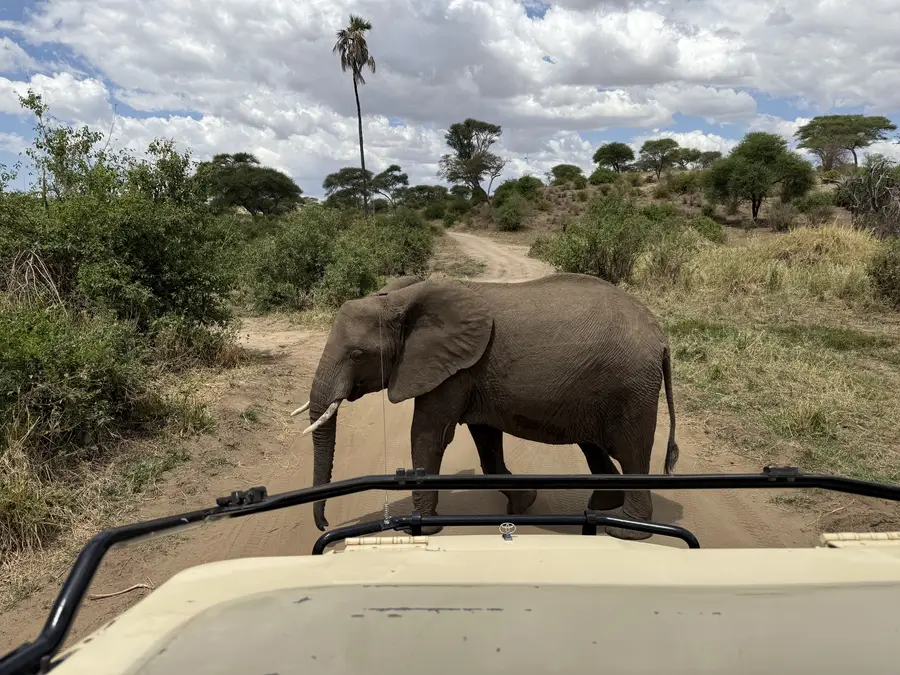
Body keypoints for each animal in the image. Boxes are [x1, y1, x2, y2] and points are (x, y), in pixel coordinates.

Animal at [293, 272, 679, 540]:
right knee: (593, 445)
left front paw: (422, 528)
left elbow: (429, 436)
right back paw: (601, 506)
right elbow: (486, 440)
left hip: (630, 387)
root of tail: (661, 338)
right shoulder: (471, 371)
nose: (324, 524)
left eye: (357, 355)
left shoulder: (452, 370)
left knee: (632, 452)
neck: (401, 299)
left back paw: (626, 530)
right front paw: (523, 503)